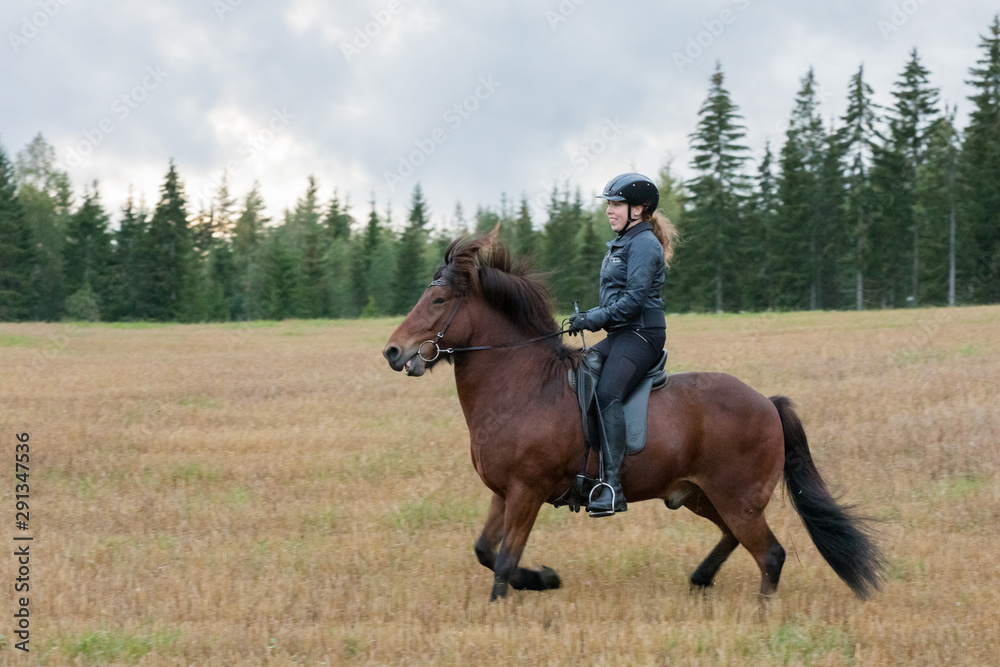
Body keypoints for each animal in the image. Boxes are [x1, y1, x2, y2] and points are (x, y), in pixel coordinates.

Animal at [380, 232, 884, 604]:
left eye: (439, 300)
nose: (393, 351)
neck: (522, 387)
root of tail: (766, 402)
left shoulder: (527, 491)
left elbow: (502, 560)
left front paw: (507, 602)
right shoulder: (504, 492)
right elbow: (485, 551)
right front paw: (544, 579)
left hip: (736, 497)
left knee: (771, 554)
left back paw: (761, 612)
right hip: (704, 495)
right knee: (735, 538)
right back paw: (701, 579)